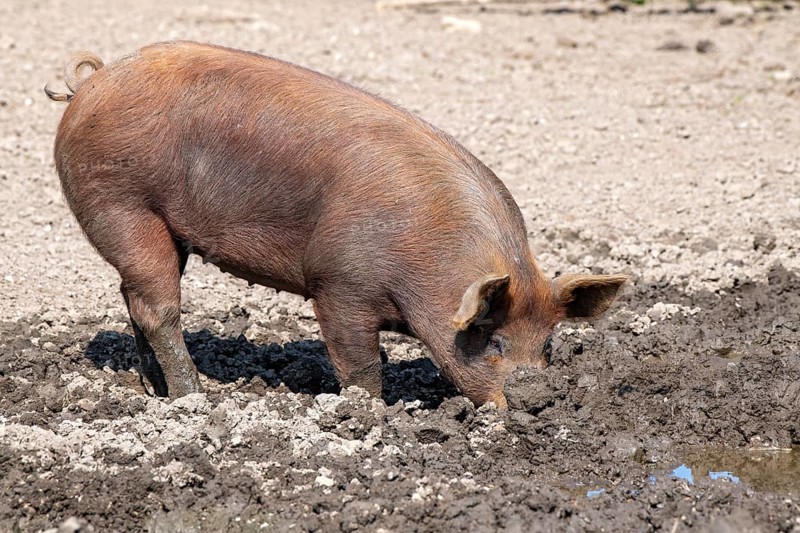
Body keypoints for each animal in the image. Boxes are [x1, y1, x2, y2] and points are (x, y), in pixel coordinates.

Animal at [46, 41, 627, 408]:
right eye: (494, 342)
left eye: (548, 347)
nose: (537, 403)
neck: (426, 263)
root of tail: (94, 81)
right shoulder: (339, 283)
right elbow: (361, 364)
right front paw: (374, 415)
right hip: (121, 203)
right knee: (157, 306)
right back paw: (194, 399)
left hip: (162, 227)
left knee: (133, 299)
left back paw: (155, 391)